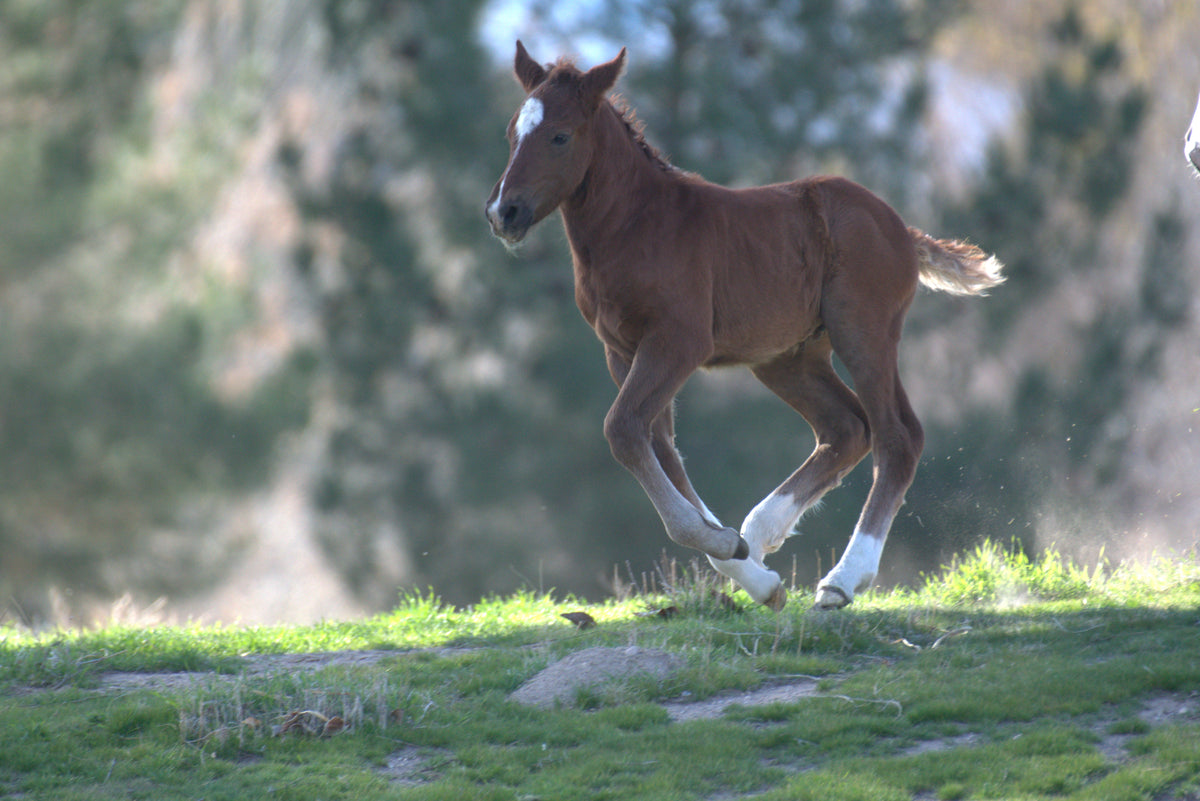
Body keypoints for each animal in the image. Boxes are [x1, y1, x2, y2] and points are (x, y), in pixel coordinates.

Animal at [486, 42, 1004, 610]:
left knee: (897, 435)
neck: (636, 225)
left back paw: (841, 580)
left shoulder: (677, 342)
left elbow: (623, 430)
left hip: (864, 331)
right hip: (789, 358)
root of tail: (903, 230)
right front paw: (746, 564)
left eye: (559, 136)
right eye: (512, 133)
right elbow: (660, 447)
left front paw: (723, 543)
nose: (504, 212)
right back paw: (760, 532)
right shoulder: (621, 350)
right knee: (847, 429)